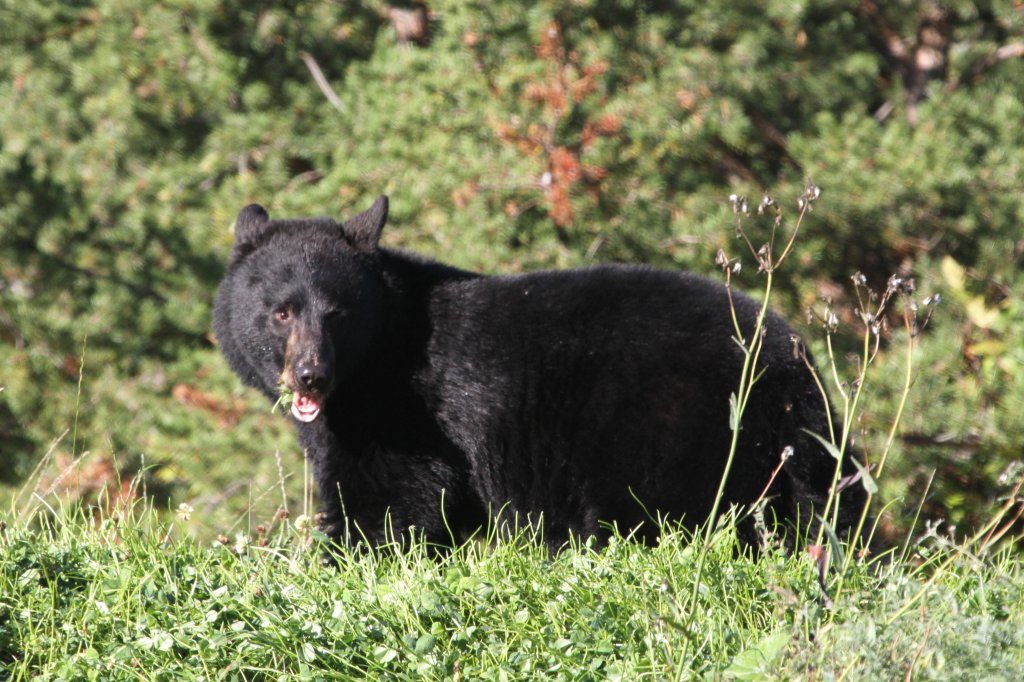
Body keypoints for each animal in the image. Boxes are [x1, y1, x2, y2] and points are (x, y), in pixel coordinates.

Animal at [214, 193, 864, 548]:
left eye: (339, 314)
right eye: (281, 311)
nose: (311, 376)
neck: (372, 362)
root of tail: (792, 364)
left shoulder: (402, 416)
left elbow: (393, 501)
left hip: (680, 424)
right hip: (794, 452)